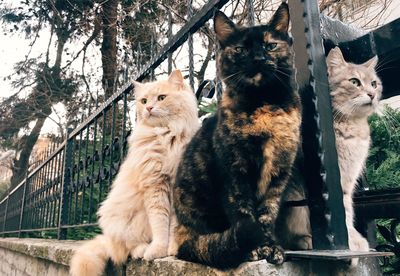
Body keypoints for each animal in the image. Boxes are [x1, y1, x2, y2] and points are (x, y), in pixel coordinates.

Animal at [70, 70, 200, 274]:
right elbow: (160, 224)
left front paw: (173, 249)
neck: (166, 136)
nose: (149, 108)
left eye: (161, 98)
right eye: (144, 101)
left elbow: (173, 226)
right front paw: (158, 250)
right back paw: (143, 249)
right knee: (128, 249)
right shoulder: (155, 187)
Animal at [172, 3, 300, 268]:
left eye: (270, 45)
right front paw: (255, 248)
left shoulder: (278, 175)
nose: (259, 59)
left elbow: (267, 214)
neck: (264, 105)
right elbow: (243, 212)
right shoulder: (234, 172)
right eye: (241, 49)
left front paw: (272, 248)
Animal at [276, 45, 382, 258]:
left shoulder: (348, 181)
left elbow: (347, 209)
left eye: (374, 83)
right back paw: (304, 240)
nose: (372, 94)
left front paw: (353, 238)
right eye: (354, 82)